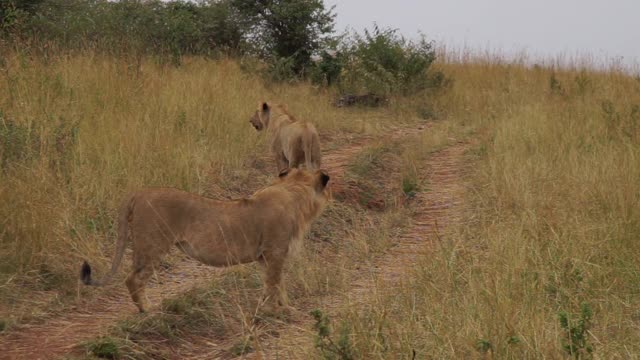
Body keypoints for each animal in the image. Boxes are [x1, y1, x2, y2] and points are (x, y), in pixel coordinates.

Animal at [80, 168, 330, 312]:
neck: (294, 193)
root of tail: (139, 192)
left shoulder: (266, 257)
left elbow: (277, 285)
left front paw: (283, 307)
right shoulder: (274, 252)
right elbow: (274, 284)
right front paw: (275, 312)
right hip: (152, 245)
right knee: (133, 279)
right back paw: (147, 309)